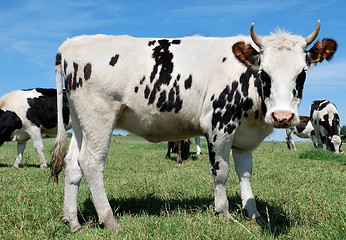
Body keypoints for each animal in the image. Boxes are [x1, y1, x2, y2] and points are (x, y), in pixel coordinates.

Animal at [50, 21, 336, 232]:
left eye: (302, 73)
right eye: (264, 73)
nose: (283, 117)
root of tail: (70, 44)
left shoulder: (244, 136)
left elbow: (245, 173)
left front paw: (252, 212)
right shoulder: (220, 124)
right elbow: (221, 172)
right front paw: (224, 213)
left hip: (81, 123)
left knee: (73, 164)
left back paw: (72, 220)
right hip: (99, 116)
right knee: (91, 163)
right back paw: (109, 220)